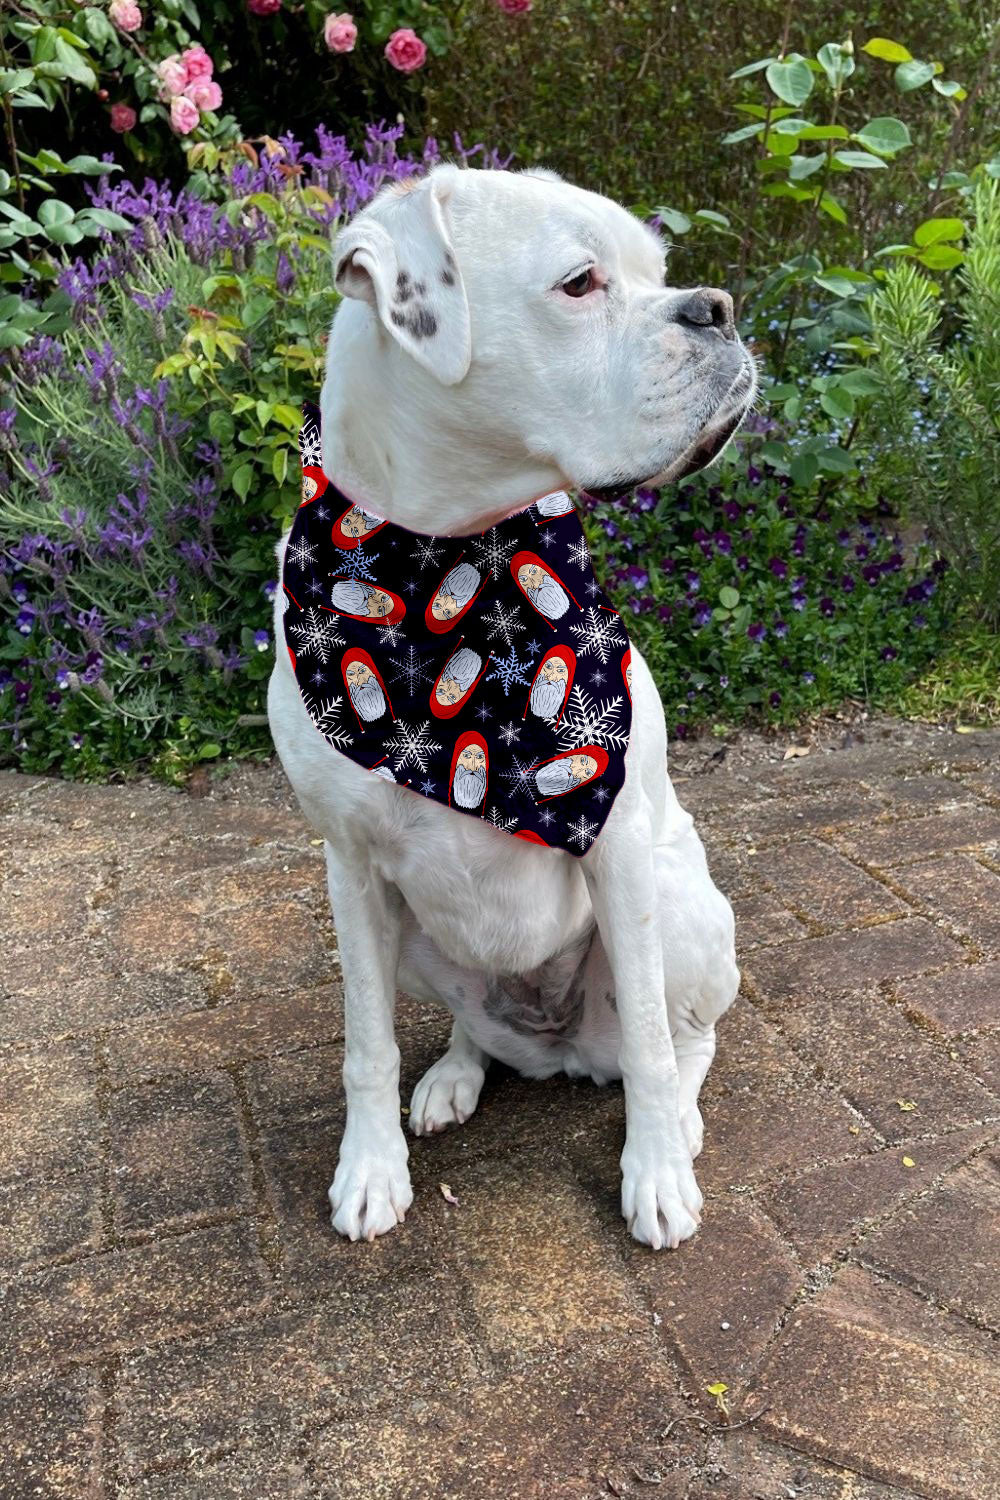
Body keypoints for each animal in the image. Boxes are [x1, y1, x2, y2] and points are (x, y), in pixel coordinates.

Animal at [268, 164, 758, 1248]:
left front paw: (654, 1175)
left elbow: (654, 1045)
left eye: (660, 270)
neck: (448, 567)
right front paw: (371, 1169)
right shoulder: (349, 871)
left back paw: (681, 1123)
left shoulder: (615, 841)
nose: (716, 308)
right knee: (467, 1024)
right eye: (580, 283)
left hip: (679, 905)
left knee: (683, 1038)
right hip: (417, 936)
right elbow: (365, 1045)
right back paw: (454, 1075)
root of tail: (558, 1048)